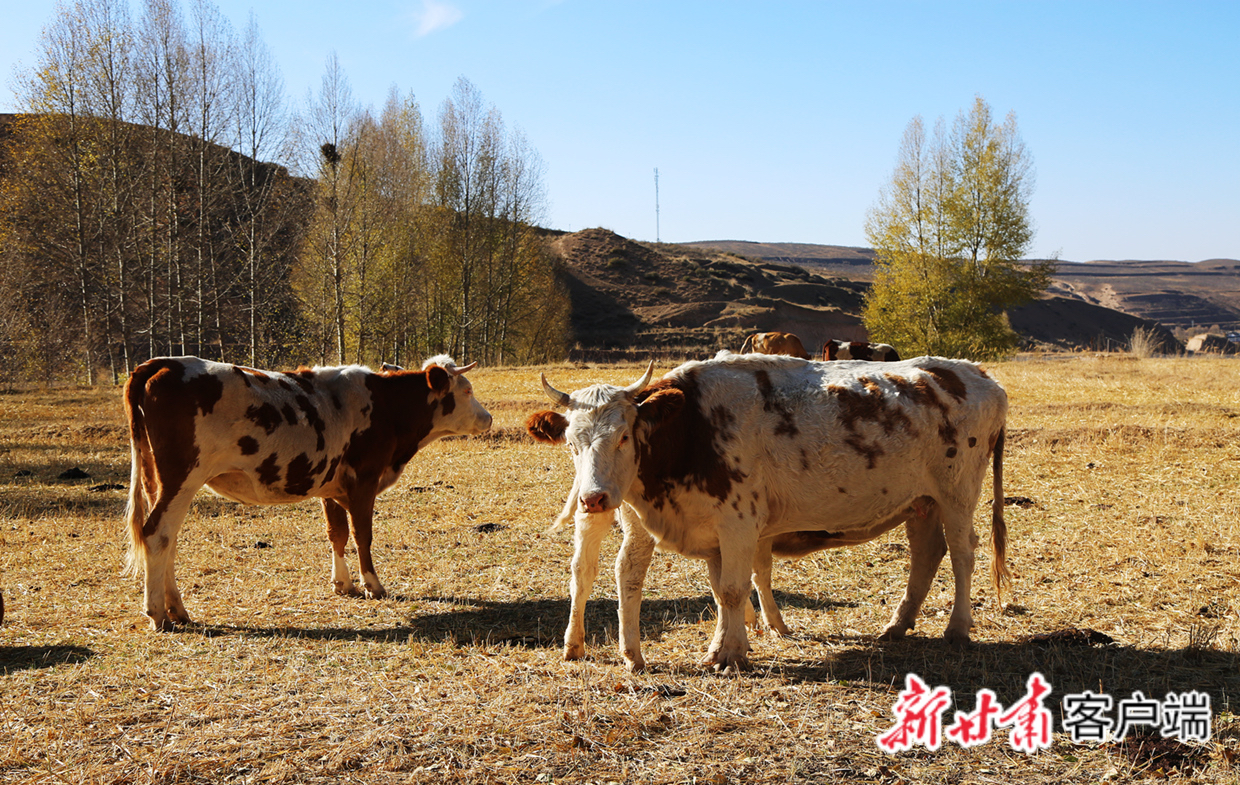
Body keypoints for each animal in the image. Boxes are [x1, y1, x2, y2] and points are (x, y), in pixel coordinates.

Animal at [123, 354, 492, 631]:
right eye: (467, 390)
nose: (488, 418)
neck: (385, 405)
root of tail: (163, 363)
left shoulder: (332, 486)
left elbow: (337, 534)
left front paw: (343, 584)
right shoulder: (364, 480)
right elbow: (362, 534)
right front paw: (373, 585)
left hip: (158, 482)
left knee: (167, 540)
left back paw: (177, 609)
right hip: (181, 479)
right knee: (157, 533)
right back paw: (158, 613)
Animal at [526, 353, 1008, 672]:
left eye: (624, 435)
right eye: (572, 442)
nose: (593, 498)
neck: (691, 429)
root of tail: (977, 373)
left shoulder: (738, 522)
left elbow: (734, 589)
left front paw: (727, 653)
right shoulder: (656, 520)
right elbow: (669, 582)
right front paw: (665, 651)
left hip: (957, 495)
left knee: (963, 554)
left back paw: (957, 628)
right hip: (921, 504)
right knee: (926, 555)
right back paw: (898, 624)